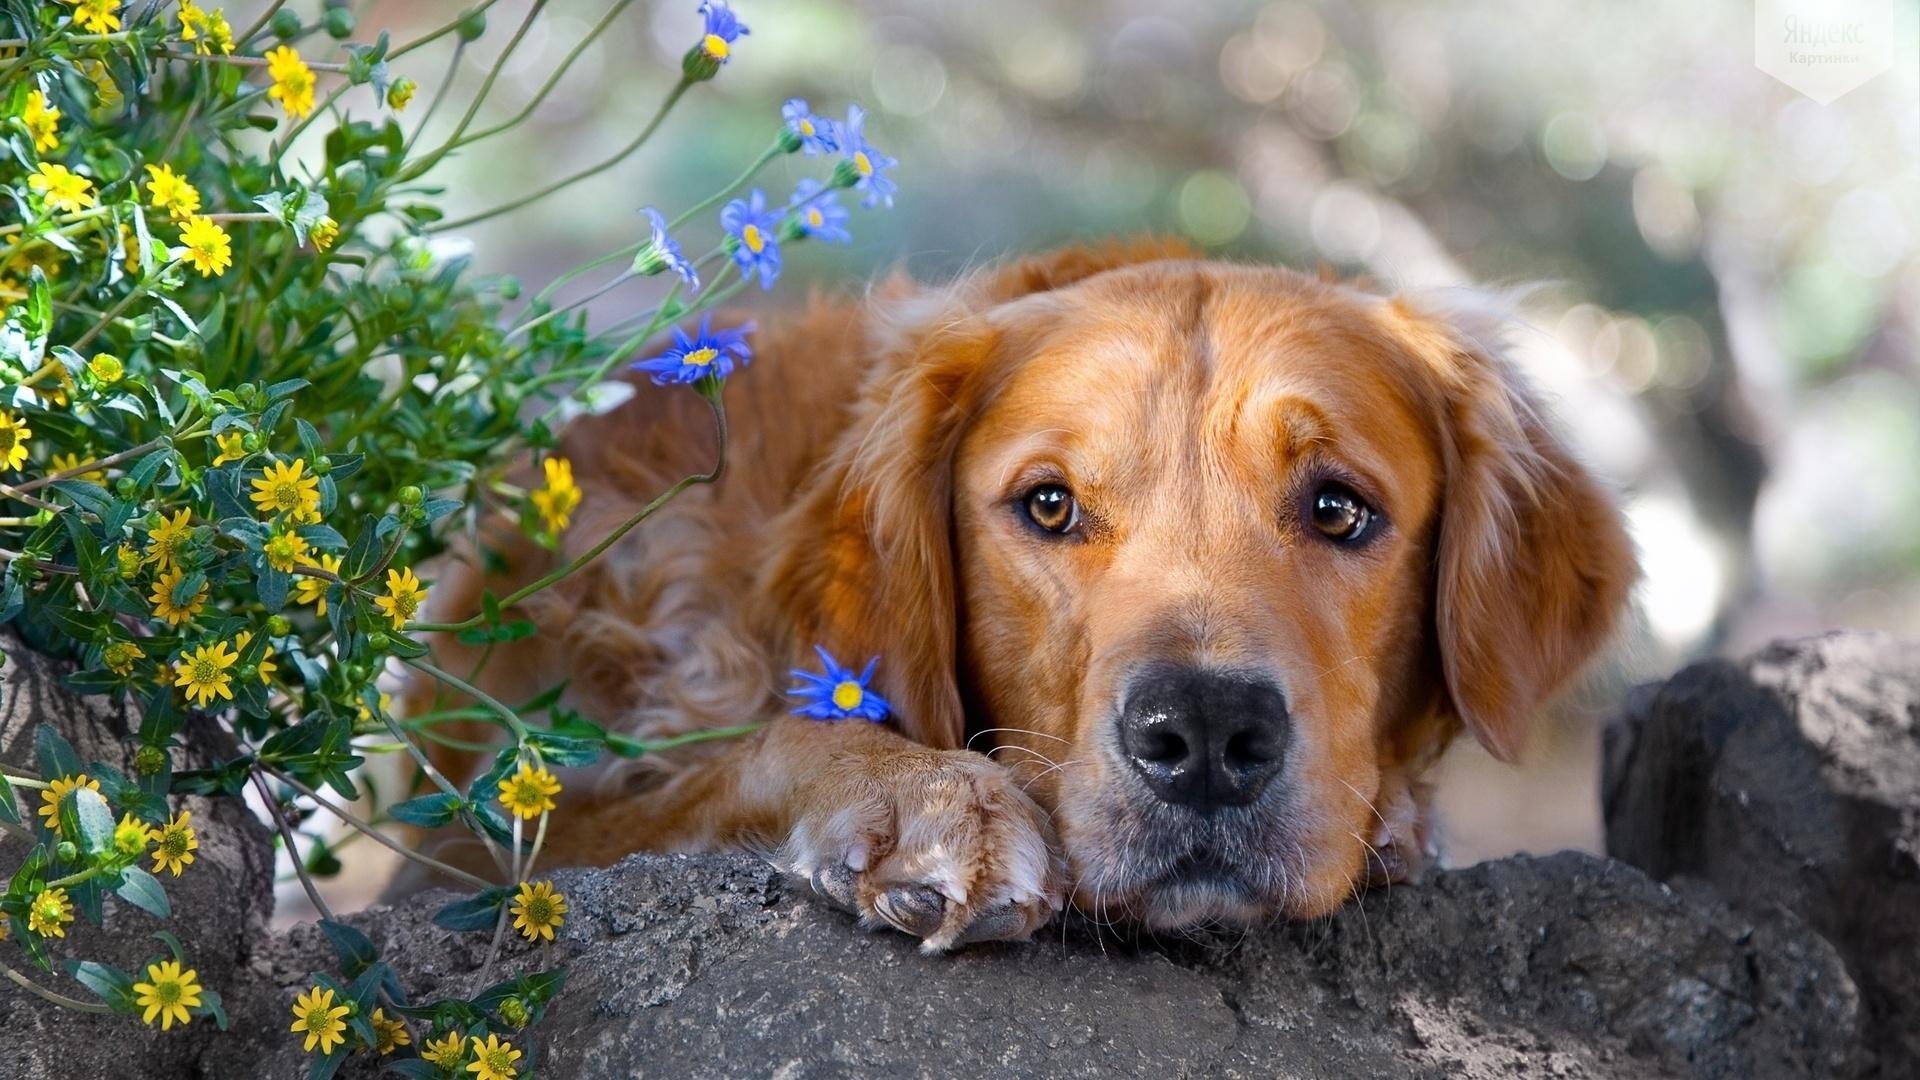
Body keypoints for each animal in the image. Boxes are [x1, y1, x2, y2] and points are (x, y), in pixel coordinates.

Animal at [424, 239, 1635, 945]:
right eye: (1049, 505)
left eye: (1339, 509)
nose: (1205, 735)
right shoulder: (490, 839)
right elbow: (749, 753)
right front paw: (919, 796)